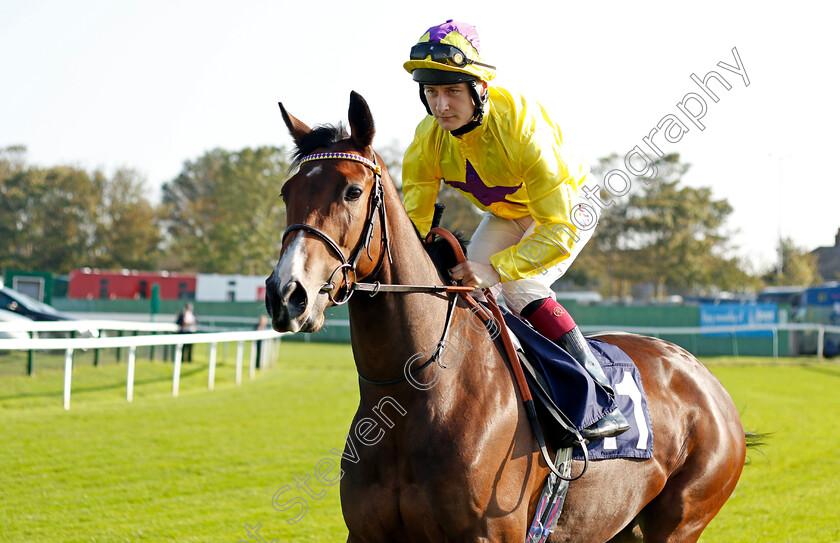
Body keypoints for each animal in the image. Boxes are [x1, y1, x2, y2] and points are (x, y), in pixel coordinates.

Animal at [266, 91, 744, 540]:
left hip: (681, 521)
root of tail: (704, 378)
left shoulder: (491, 532)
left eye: (352, 191)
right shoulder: (365, 533)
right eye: (286, 193)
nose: (286, 294)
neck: (420, 393)